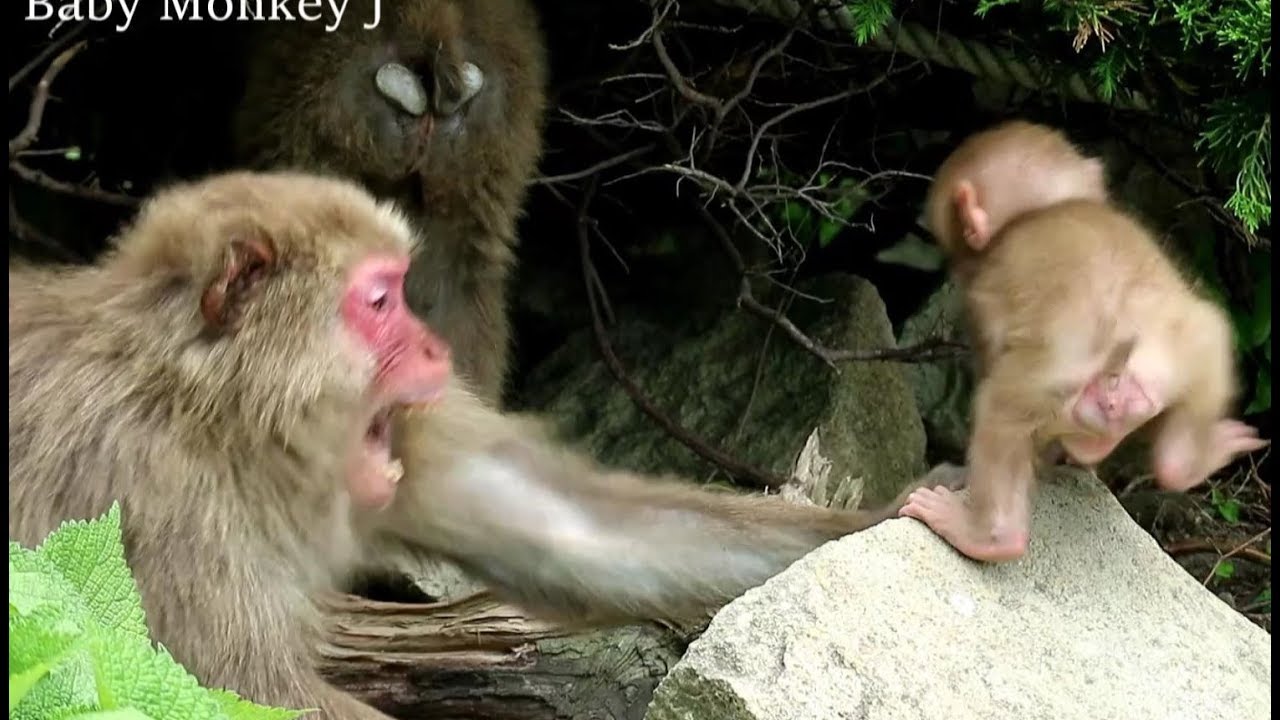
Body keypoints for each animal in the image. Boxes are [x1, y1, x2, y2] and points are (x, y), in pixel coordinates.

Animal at [9, 170, 963, 718]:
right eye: (381, 301)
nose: (436, 348)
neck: (220, 412)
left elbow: (578, 532)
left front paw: (922, 509)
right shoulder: (150, 505)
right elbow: (223, 690)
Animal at [900, 121, 1268, 563]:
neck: (1037, 211)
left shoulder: (980, 298)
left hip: (1049, 384)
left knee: (998, 409)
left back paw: (988, 535)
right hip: (1190, 347)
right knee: (1211, 338)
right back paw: (1189, 459)